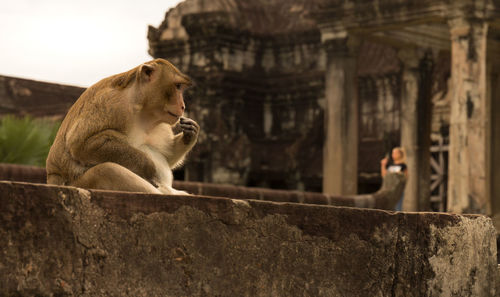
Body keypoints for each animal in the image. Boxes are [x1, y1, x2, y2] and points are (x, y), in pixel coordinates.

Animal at [46, 57, 199, 194]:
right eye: (177, 86)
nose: (183, 106)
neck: (140, 107)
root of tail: (52, 180)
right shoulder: (114, 104)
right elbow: (81, 144)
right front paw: (148, 167)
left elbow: (167, 154)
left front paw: (190, 132)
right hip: (81, 182)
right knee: (108, 170)